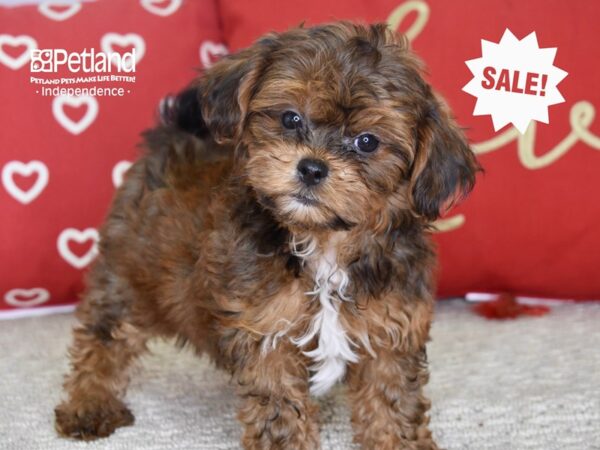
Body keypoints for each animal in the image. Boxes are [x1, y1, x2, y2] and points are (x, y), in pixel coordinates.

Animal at [55, 22, 478, 450]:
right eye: (290, 118)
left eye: (367, 142)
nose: (312, 168)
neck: (324, 243)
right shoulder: (267, 332)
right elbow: (280, 409)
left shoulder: (391, 333)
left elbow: (391, 404)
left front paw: (397, 441)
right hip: (129, 270)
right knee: (106, 335)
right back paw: (90, 402)